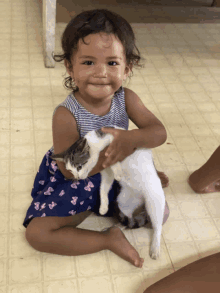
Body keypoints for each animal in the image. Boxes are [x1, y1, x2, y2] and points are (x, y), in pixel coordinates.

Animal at [51, 126, 165, 258]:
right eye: (70, 170)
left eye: (79, 167)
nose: (77, 177)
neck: (95, 144)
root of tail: (141, 196)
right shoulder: (106, 172)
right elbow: (104, 188)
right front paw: (103, 207)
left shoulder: (117, 141)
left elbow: (113, 158)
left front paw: (118, 172)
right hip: (123, 200)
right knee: (128, 216)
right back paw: (120, 226)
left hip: (154, 199)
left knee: (157, 226)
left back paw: (155, 248)